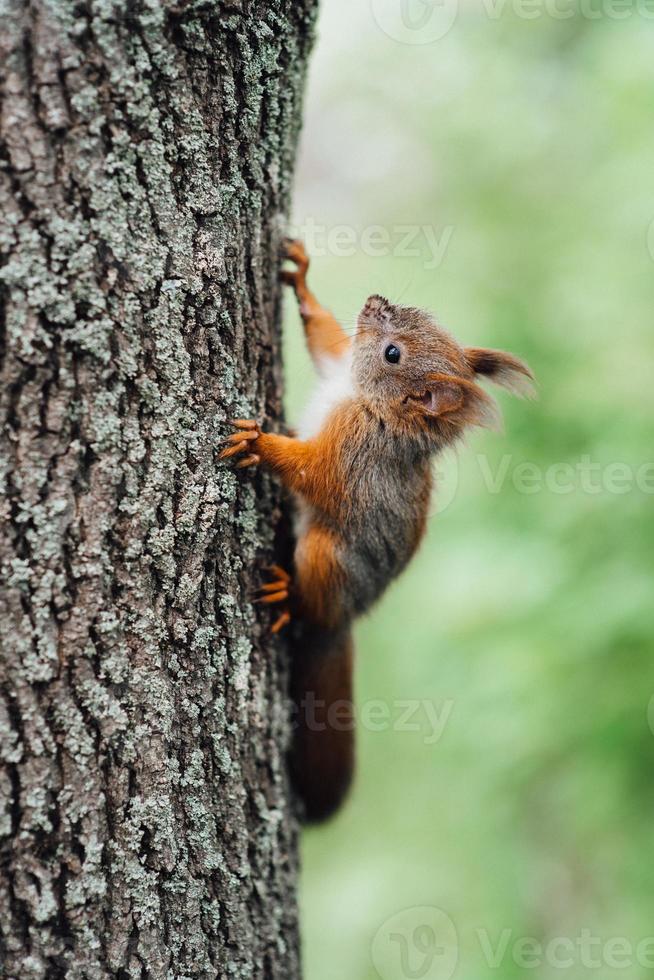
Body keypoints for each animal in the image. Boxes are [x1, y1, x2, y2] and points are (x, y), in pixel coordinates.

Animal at [220, 241, 532, 824]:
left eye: (393, 355)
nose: (374, 301)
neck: (366, 401)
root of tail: (345, 618)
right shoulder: (337, 367)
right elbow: (329, 342)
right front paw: (302, 276)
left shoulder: (351, 455)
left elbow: (310, 471)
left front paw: (259, 444)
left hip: (326, 555)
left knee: (311, 598)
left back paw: (289, 595)